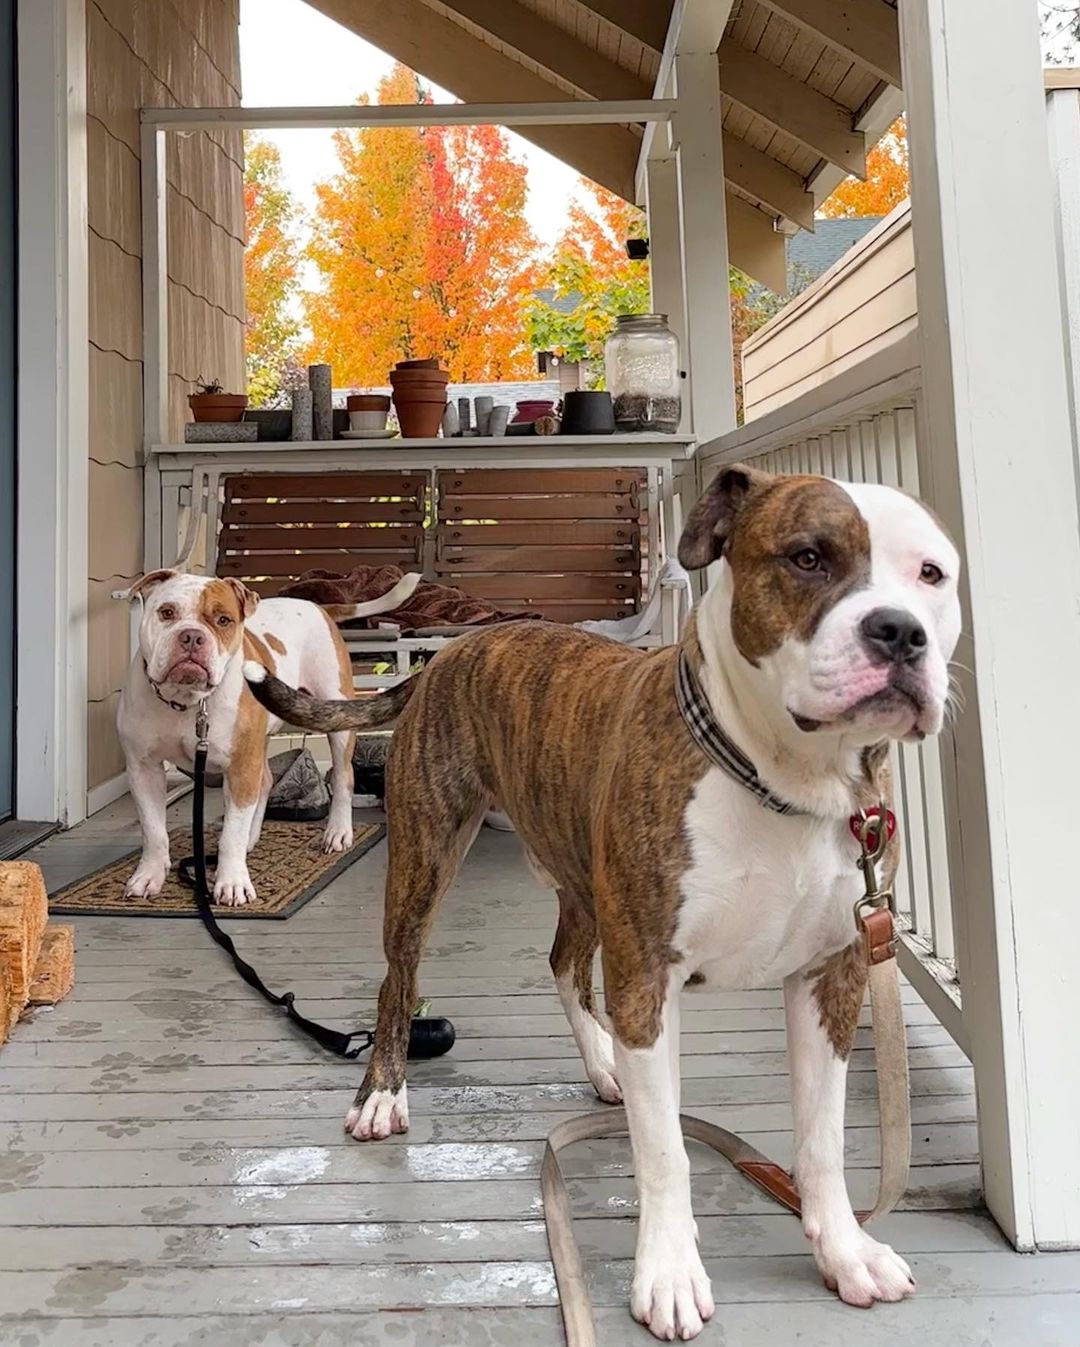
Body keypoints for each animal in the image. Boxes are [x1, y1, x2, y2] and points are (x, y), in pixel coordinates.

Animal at [239, 468, 953, 1341]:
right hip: (426, 852)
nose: (901, 632)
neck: (783, 781)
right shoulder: (647, 974)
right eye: (808, 556)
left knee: (564, 964)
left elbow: (820, 1137)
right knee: (397, 980)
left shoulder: (831, 975)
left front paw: (845, 1251)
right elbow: (665, 1149)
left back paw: (605, 1065)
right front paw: (669, 1273)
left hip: (578, 870)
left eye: (932, 574)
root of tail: (457, 649)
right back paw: (382, 1095)